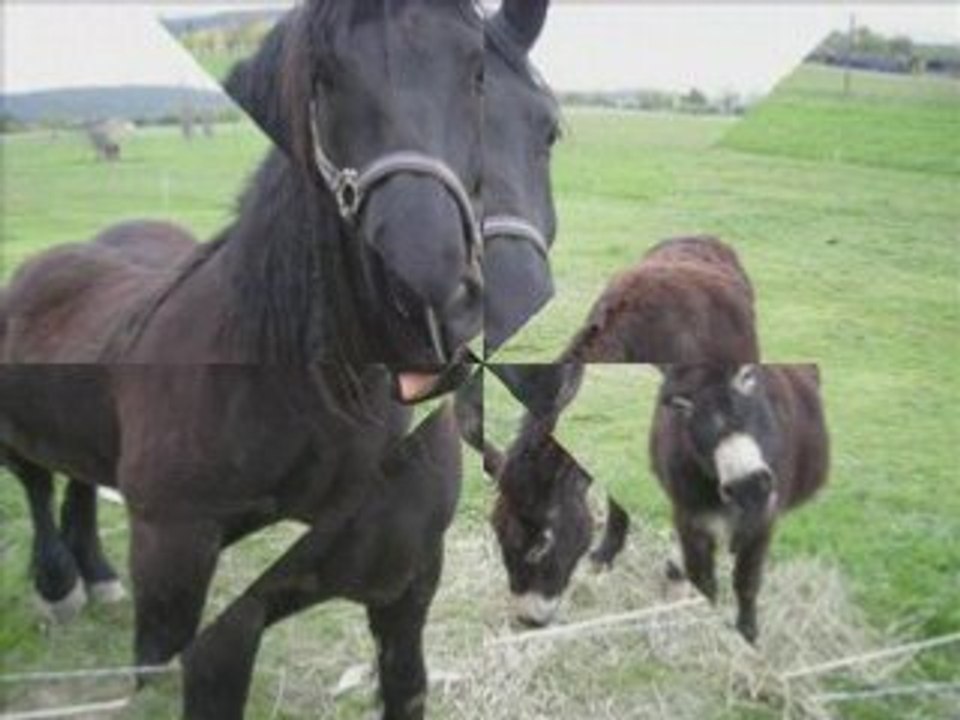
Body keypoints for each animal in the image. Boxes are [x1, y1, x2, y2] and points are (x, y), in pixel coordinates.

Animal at [0, 2, 491, 717]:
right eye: (323, 79)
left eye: (478, 69)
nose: (429, 291)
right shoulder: (179, 563)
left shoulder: (404, 576)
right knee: (37, 482)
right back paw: (60, 584)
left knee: (80, 481)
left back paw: (97, 577)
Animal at [485, 236, 761, 626]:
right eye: (498, 533)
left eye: (542, 544)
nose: (527, 620)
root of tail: (702, 237)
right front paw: (606, 553)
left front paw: (678, 575)